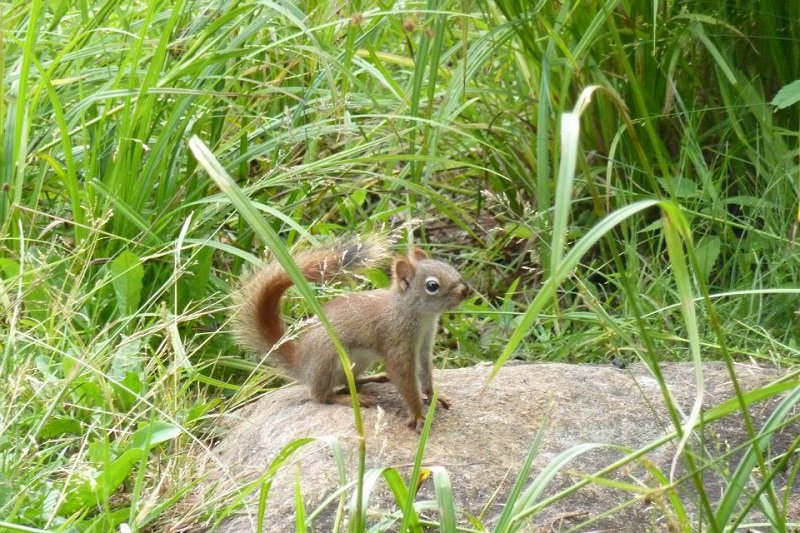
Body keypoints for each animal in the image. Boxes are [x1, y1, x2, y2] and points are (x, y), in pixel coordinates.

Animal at [231, 237, 468, 432]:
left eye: (449, 267)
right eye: (432, 285)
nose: (466, 290)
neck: (417, 314)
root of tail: (302, 364)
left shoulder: (425, 344)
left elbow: (425, 372)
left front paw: (434, 395)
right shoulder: (396, 339)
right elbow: (404, 378)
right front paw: (418, 414)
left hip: (357, 362)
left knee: (347, 382)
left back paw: (371, 379)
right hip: (328, 358)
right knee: (320, 395)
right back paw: (349, 399)